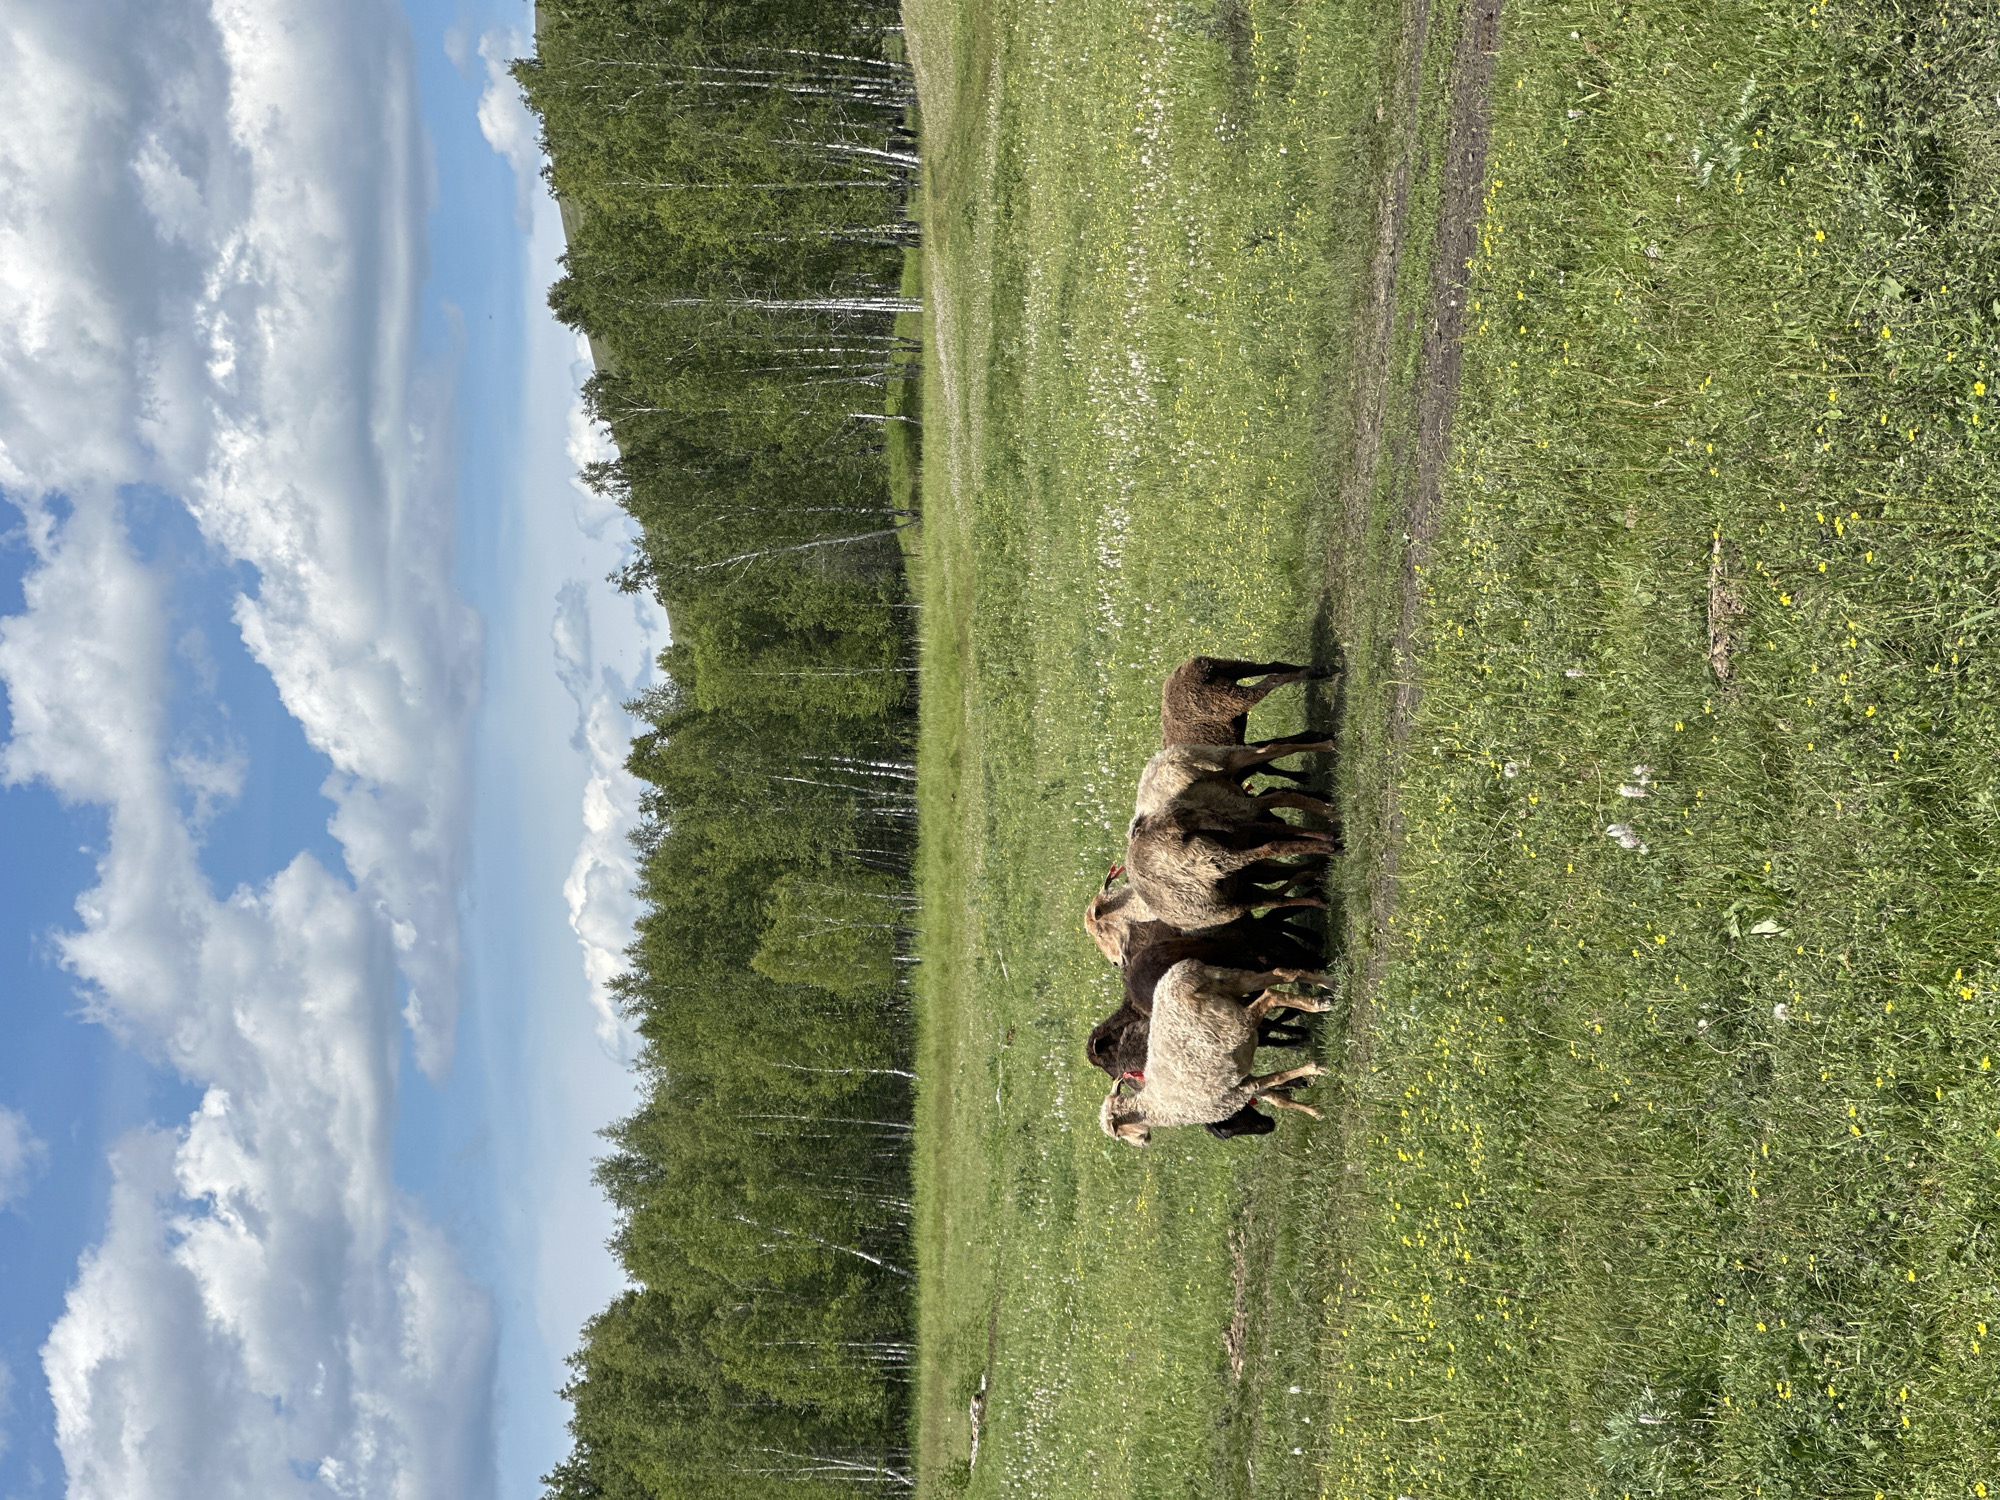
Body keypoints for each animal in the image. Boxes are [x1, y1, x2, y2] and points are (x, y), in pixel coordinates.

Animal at [1099, 961, 1333, 1145]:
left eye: (1118, 1132)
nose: (1143, 1142)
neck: (1155, 1107)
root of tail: (1183, 980)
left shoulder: (1238, 1092)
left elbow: (1277, 1079)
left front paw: (1317, 1069)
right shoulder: (1241, 1086)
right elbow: (1278, 1097)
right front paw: (1314, 1111)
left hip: (1233, 1023)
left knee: (1270, 997)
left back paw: (1318, 1004)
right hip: (1231, 980)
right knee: (1280, 974)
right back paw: (1327, 983)